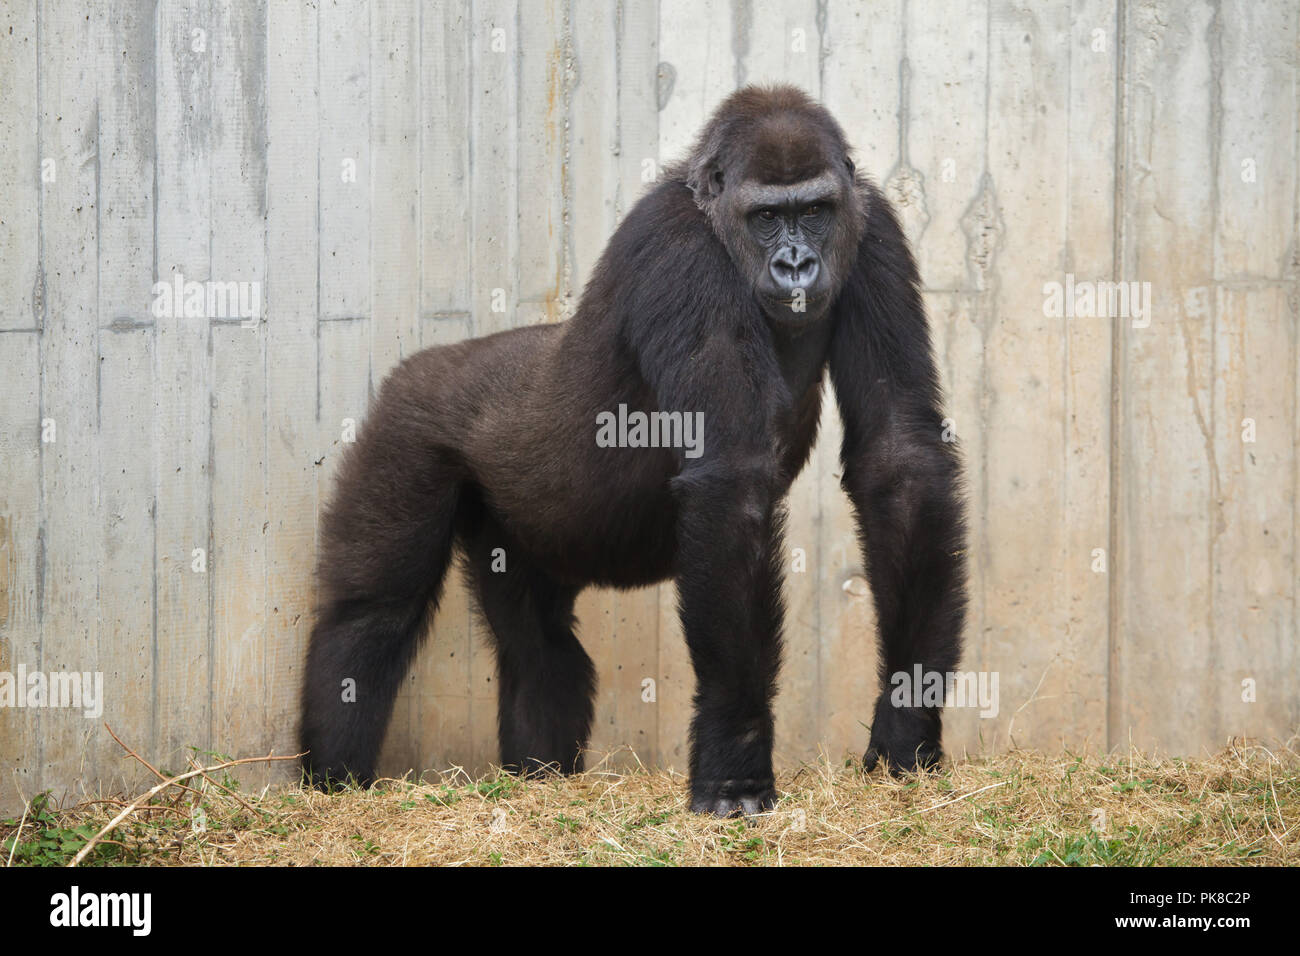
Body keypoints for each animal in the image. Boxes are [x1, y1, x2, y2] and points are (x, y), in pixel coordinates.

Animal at [301, 83, 967, 816]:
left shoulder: (873, 232)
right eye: (767, 218)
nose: (796, 263)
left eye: (815, 212)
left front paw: (906, 720)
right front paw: (734, 756)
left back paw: (538, 773)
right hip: (407, 425)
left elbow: (899, 460)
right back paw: (332, 780)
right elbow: (732, 483)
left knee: (539, 647)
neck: (715, 215)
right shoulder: (679, 249)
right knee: (371, 616)